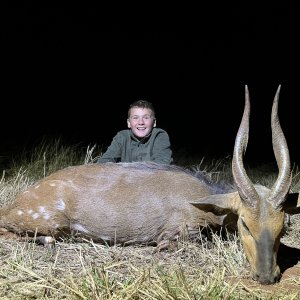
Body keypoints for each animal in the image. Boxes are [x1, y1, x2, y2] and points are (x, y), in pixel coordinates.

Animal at [0, 84, 300, 284]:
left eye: (281, 227)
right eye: (245, 224)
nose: (267, 276)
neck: (204, 200)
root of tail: (15, 203)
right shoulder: (178, 231)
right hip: (47, 220)